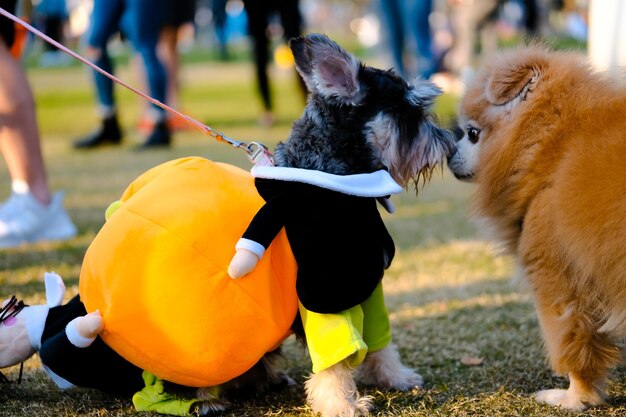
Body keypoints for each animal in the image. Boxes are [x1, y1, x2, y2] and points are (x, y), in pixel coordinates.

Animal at [172, 35, 454, 416]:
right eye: (409, 112)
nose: (449, 145)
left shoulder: (367, 282)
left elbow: (380, 341)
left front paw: (395, 376)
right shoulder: (327, 286)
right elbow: (335, 360)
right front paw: (342, 405)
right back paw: (207, 399)